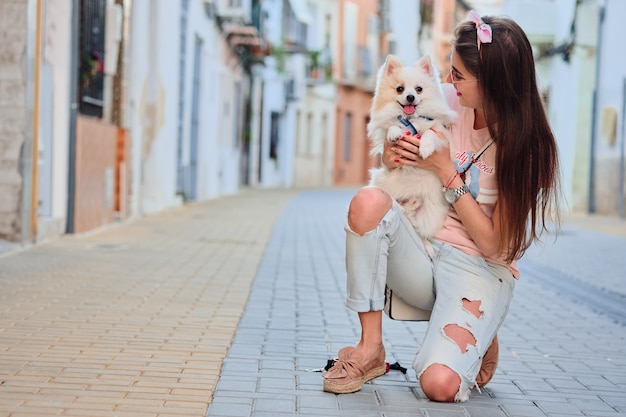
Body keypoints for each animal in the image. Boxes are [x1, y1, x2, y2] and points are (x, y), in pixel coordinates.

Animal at [368, 53, 456, 249]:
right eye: (399, 89)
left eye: (419, 89)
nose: (409, 97)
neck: (412, 119)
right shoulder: (387, 128)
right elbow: (392, 125)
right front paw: (395, 133)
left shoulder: (440, 131)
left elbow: (430, 133)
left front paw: (425, 147)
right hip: (382, 183)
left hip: (429, 215)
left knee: (419, 228)